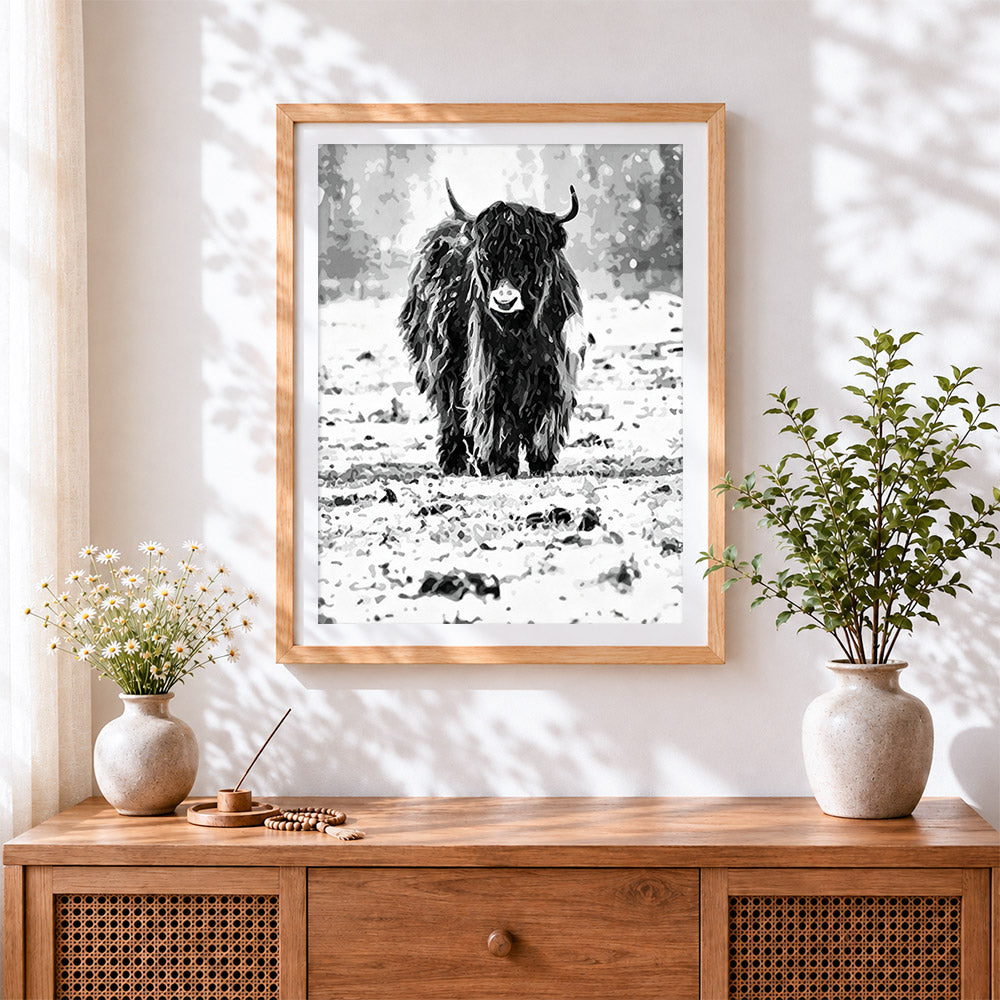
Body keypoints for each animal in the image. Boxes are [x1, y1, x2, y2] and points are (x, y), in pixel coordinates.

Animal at [399, 180, 586, 477]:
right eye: (487, 256)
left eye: (532, 255)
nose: (504, 300)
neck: (520, 331)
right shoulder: (487, 367)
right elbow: (494, 410)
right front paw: (500, 462)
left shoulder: (555, 366)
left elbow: (547, 406)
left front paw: (541, 459)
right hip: (440, 361)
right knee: (450, 410)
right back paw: (455, 462)